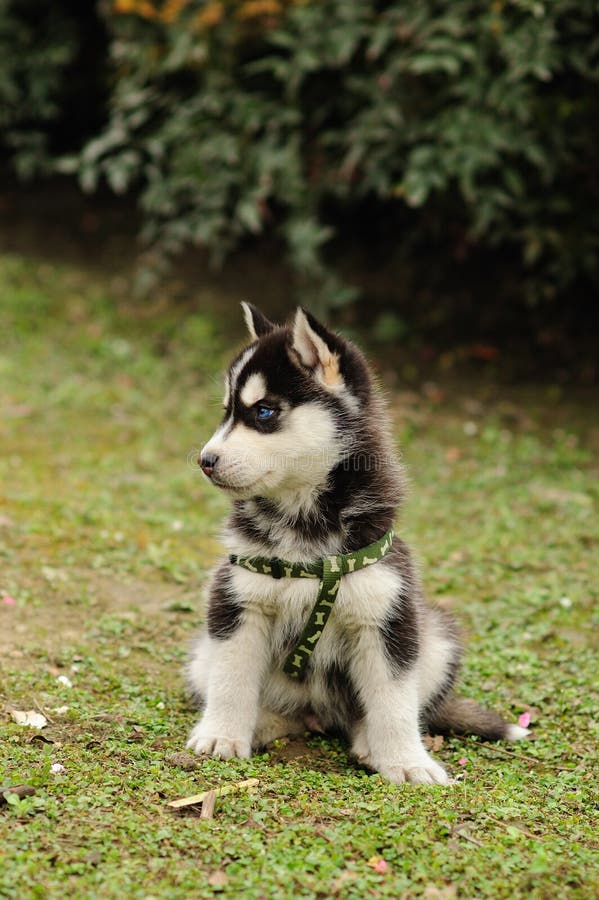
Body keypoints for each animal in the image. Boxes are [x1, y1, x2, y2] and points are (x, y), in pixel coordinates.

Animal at [188, 306, 528, 784]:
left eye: (265, 411)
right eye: (226, 412)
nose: (205, 460)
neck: (307, 531)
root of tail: (318, 715)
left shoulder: (385, 616)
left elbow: (394, 703)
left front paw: (407, 762)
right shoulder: (237, 601)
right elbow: (231, 680)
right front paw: (221, 735)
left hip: (436, 638)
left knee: (386, 710)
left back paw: (371, 745)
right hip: (202, 652)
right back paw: (265, 722)